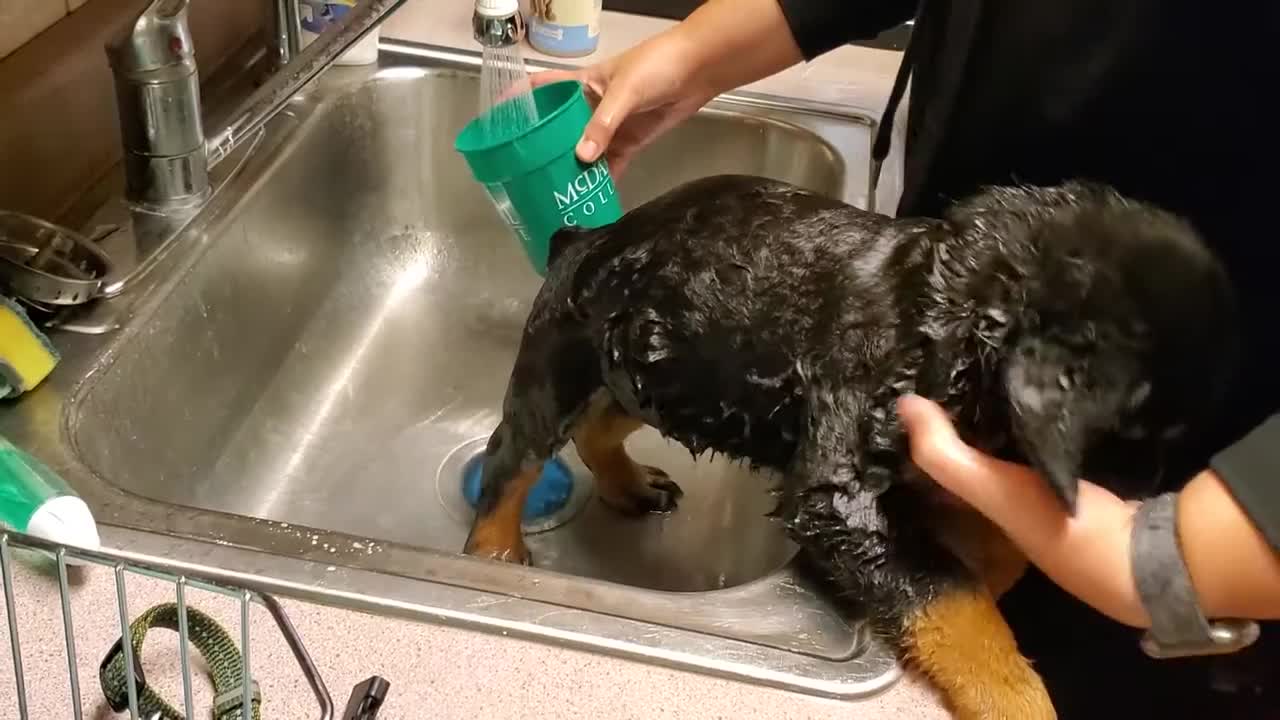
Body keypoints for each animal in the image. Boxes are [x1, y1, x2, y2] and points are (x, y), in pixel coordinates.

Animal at [465, 174, 1233, 717]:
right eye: (1136, 436)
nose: (1154, 513)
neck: (953, 310)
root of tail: (581, 237)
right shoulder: (841, 487)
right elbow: (954, 599)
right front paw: (1018, 697)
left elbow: (988, 545)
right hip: (562, 360)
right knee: (513, 458)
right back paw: (494, 552)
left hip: (663, 373)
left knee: (599, 424)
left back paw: (629, 484)